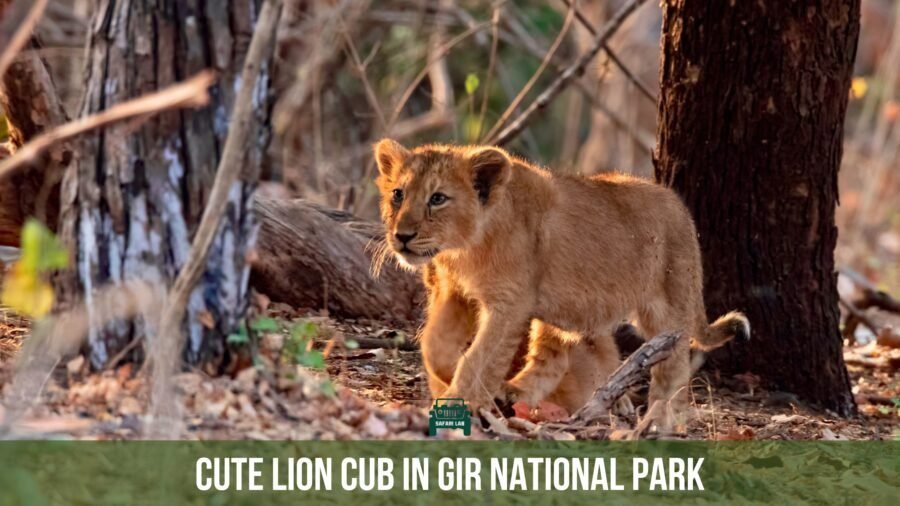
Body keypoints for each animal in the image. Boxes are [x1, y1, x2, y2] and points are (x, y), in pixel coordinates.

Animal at [373, 139, 749, 435]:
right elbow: (435, 345)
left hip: (668, 305)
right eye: (398, 194)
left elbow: (481, 356)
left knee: (674, 370)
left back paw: (660, 422)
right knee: (550, 361)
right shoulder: (456, 293)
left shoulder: (510, 302)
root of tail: (681, 209)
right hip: (560, 313)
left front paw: (459, 399)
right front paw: (454, 378)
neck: (464, 249)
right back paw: (513, 393)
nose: (402, 236)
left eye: (437, 198)